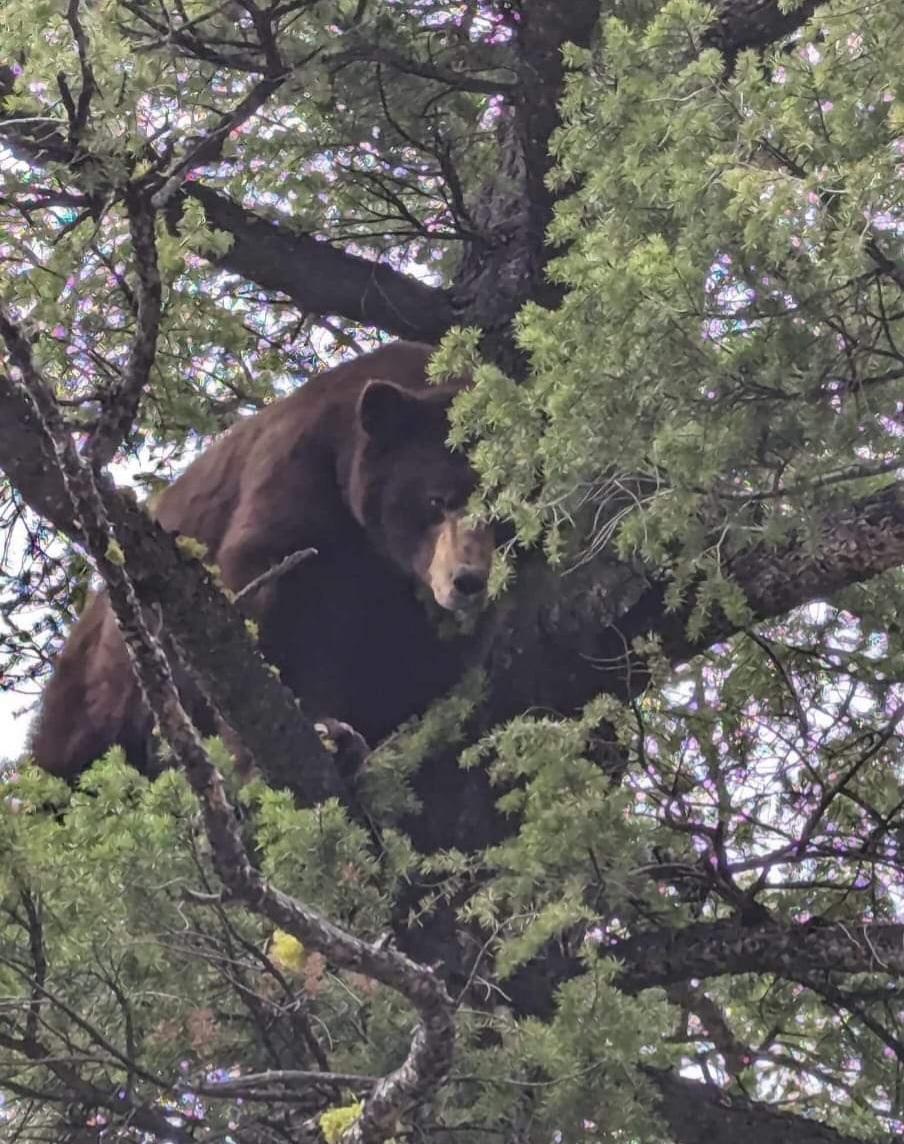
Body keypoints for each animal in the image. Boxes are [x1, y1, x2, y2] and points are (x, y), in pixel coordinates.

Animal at [30, 338, 496, 782]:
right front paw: (327, 735)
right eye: (435, 500)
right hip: (95, 694)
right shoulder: (298, 477)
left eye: (501, 511)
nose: (468, 580)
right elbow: (274, 613)